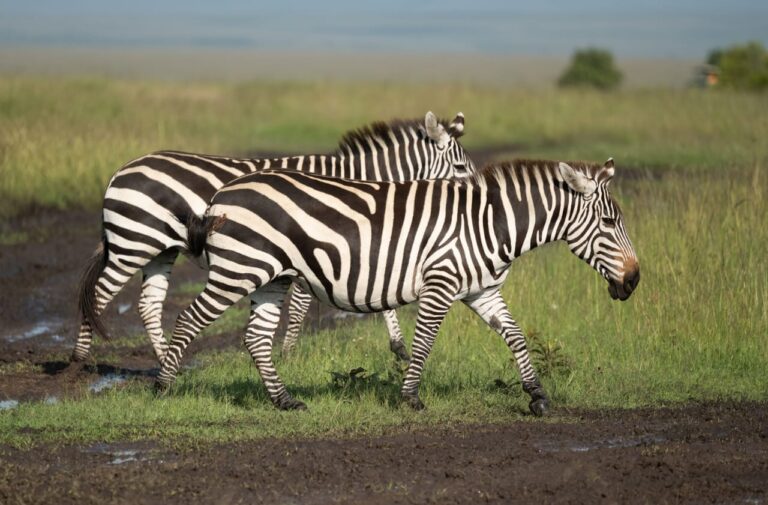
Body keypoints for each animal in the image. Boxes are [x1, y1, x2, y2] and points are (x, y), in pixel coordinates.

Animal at [74, 112, 475, 365]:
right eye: (459, 167)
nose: (477, 197)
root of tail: (121, 169)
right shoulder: (314, 249)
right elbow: (299, 307)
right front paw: (288, 355)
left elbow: (380, 294)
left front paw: (399, 348)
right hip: (132, 244)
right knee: (98, 295)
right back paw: (79, 363)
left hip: (159, 249)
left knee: (148, 304)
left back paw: (166, 360)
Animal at [154, 157, 640, 415]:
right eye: (609, 222)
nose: (634, 281)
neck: (490, 223)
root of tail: (221, 194)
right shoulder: (441, 281)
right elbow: (423, 342)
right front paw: (410, 398)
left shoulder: (482, 290)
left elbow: (516, 336)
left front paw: (537, 396)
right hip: (239, 269)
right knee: (188, 320)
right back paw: (162, 386)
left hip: (272, 276)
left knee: (255, 339)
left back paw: (285, 401)